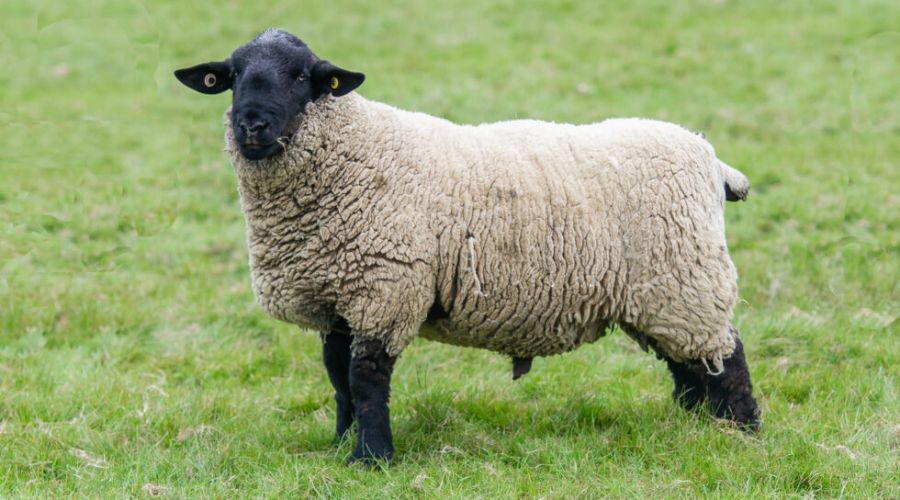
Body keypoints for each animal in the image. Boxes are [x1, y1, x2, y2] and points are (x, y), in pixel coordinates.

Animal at [176, 28, 760, 464]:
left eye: (300, 76)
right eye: (231, 78)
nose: (252, 124)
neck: (353, 154)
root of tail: (710, 158)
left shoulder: (386, 289)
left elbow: (365, 381)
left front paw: (372, 458)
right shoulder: (337, 298)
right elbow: (338, 379)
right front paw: (341, 445)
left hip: (689, 275)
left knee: (727, 357)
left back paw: (741, 433)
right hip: (661, 290)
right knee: (689, 364)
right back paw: (691, 427)